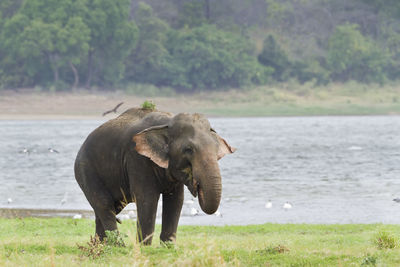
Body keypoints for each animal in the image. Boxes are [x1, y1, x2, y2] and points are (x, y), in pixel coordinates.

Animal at [75, 108, 234, 246]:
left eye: (216, 149)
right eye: (188, 149)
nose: (197, 185)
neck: (167, 123)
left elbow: (176, 200)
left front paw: (169, 247)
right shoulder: (137, 158)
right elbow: (148, 198)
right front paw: (144, 248)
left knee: (108, 209)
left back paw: (100, 246)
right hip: (86, 170)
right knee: (104, 204)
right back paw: (118, 246)